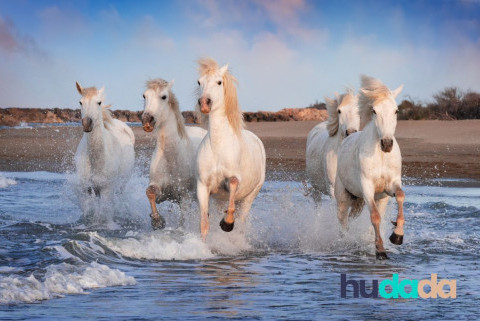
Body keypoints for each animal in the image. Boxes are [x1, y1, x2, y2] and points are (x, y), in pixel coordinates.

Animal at [75, 81, 135, 220]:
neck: (98, 160)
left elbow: (103, 214)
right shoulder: (87, 189)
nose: (87, 123)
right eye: (80, 102)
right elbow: (88, 212)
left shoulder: (106, 190)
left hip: (121, 186)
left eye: (99, 102)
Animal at [140, 78, 205, 228]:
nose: (147, 121)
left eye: (164, 96)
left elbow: (183, 221)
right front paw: (157, 221)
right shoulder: (162, 192)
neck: (172, 158)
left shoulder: (185, 198)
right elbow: (150, 193)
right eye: (144, 96)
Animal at [194, 57, 266, 240]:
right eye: (199, 82)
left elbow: (232, 196)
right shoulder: (203, 186)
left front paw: (227, 224)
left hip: (250, 197)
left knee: (241, 220)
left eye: (219, 82)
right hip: (219, 199)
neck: (218, 147)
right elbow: (204, 222)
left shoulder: (234, 180)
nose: (204, 103)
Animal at [334, 76, 404, 258]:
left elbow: (400, 196)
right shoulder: (367, 187)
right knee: (343, 221)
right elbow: (375, 217)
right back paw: (347, 242)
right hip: (344, 197)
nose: (386, 144)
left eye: (396, 111)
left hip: (367, 200)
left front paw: (397, 236)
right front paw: (380, 251)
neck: (381, 156)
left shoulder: (391, 185)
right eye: (374, 111)